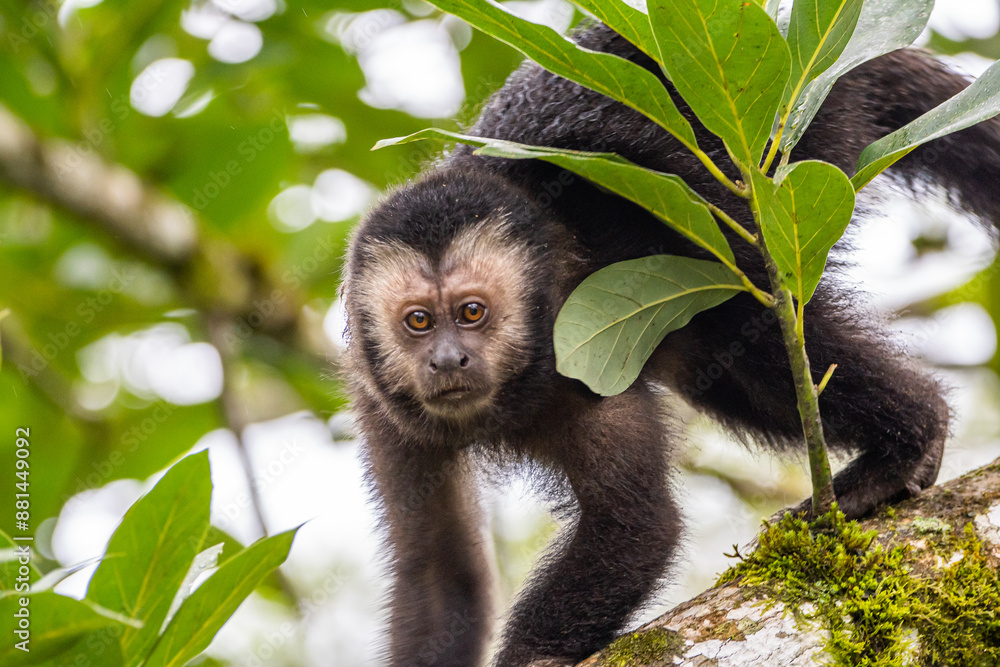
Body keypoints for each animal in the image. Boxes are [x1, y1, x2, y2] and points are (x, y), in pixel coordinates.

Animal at [341, 21, 1000, 667]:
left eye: (472, 313)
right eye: (418, 322)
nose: (448, 359)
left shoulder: (574, 356)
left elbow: (636, 524)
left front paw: (534, 655)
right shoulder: (381, 406)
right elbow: (439, 570)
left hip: (794, 168)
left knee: (758, 330)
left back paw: (909, 440)